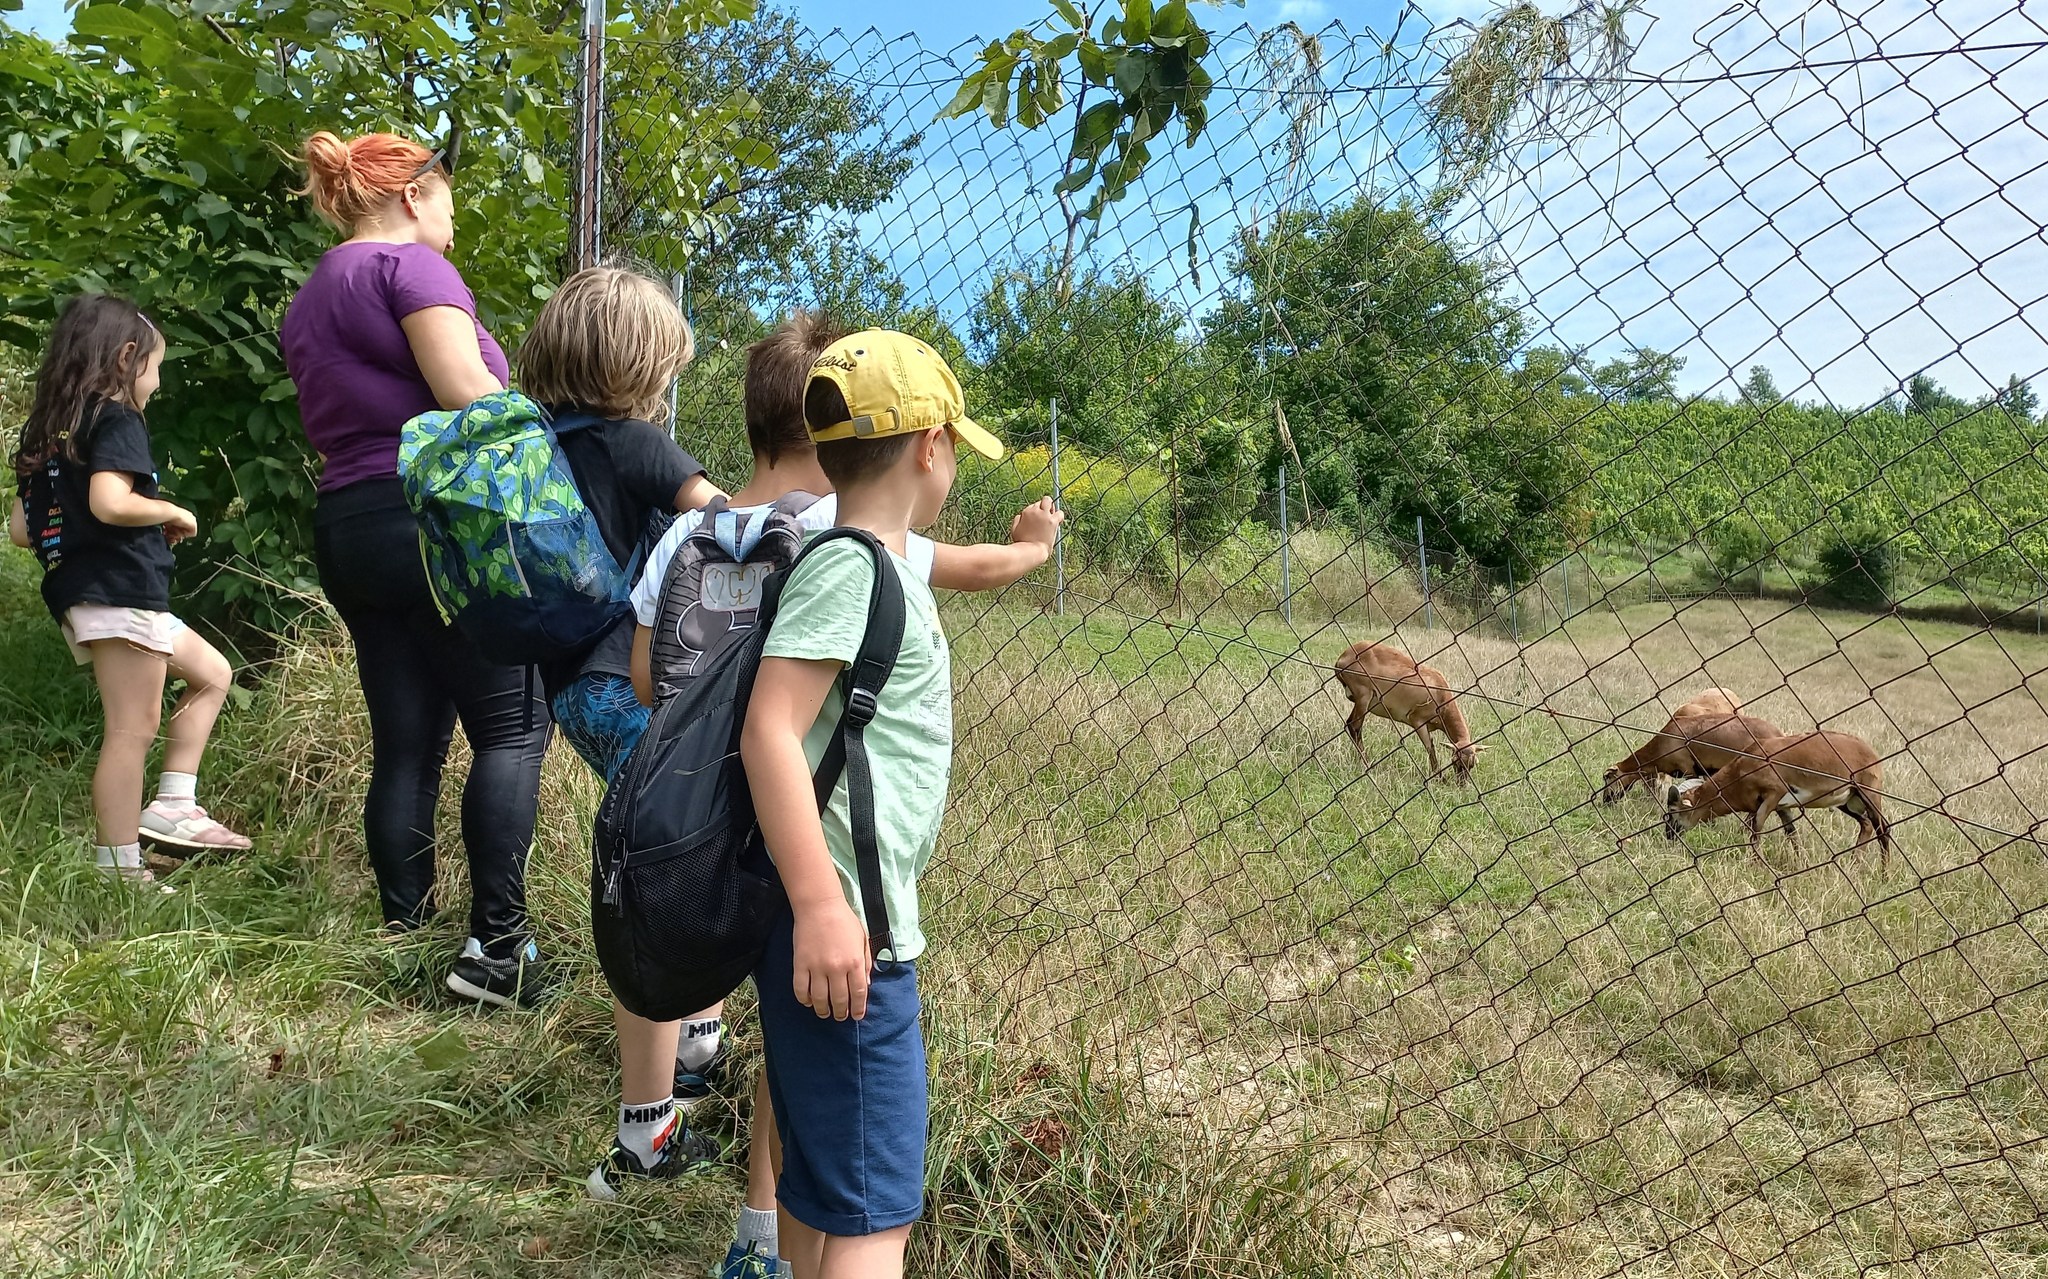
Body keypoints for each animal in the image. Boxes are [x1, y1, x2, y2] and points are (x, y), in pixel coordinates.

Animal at [1327, 642, 1490, 781]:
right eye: (1455, 761)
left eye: (1472, 764)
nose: (1462, 784)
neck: (1439, 692)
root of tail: (1343, 657)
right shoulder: (1417, 721)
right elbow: (1430, 747)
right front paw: (1440, 778)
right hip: (1363, 698)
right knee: (1354, 726)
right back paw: (1368, 764)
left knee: (1350, 724)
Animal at [1662, 728, 1884, 867]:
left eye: (1673, 810)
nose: (1669, 835)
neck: (1745, 765)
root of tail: (1871, 753)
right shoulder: (1782, 807)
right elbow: (1791, 833)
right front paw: (1802, 864)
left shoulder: (1773, 795)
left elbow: (1756, 829)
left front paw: (1756, 864)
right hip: (1848, 803)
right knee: (1866, 825)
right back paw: (1855, 865)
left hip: (1870, 795)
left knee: (1883, 831)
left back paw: (1884, 876)